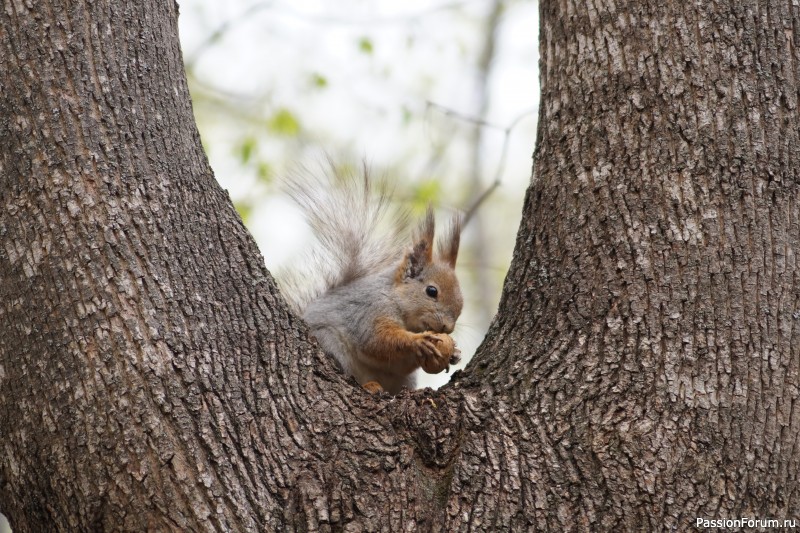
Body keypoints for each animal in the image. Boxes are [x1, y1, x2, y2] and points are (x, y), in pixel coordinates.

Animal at [284, 164, 466, 392]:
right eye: (431, 291)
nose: (447, 328)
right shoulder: (371, 310)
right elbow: (377, 339)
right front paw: (418, 341)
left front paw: (455, 353)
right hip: (330, 343)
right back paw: (370, 386)